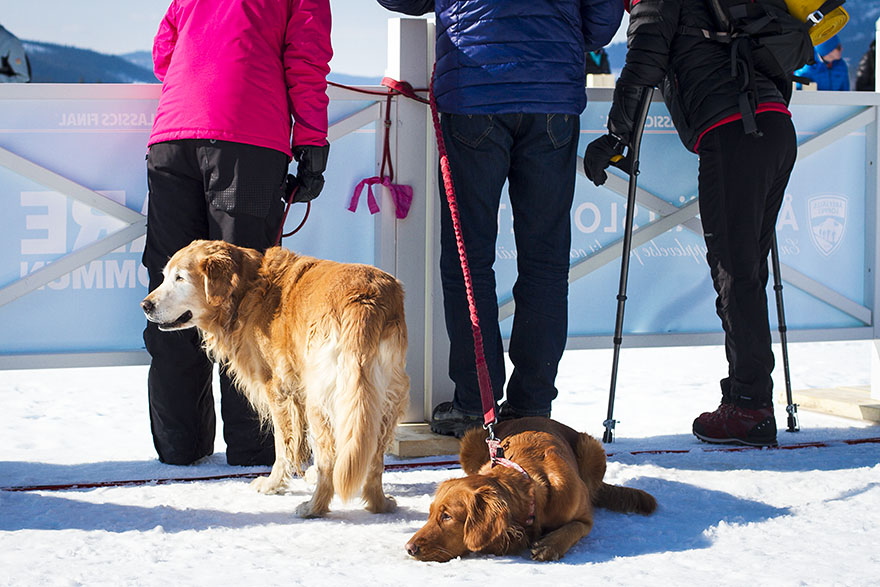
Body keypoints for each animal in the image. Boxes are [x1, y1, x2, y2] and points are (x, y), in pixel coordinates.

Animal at [406, 416, 652, 564]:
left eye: (447, 516)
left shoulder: (584, 517)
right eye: (430, 514)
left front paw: (550, 545)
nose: (409, 548)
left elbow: (575, 527)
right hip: (471, 440)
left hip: (592, 447)